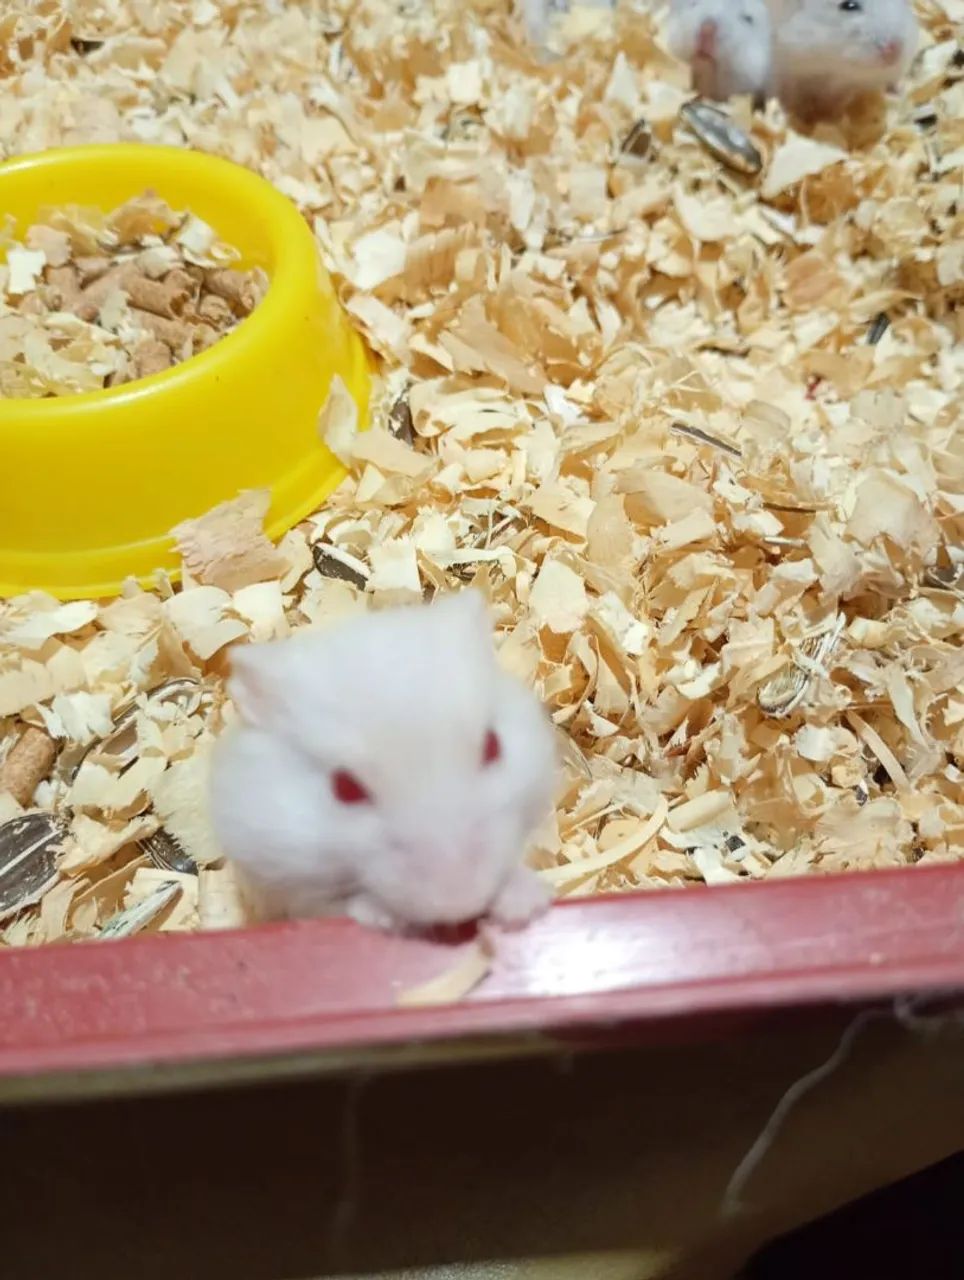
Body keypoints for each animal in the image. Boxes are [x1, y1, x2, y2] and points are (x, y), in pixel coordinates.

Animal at [209, 589, 558, 933]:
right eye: (344, 788)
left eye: (493, 747)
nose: (459, 905)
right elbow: (341, 905)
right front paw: (384, 918)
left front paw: (523, 908)